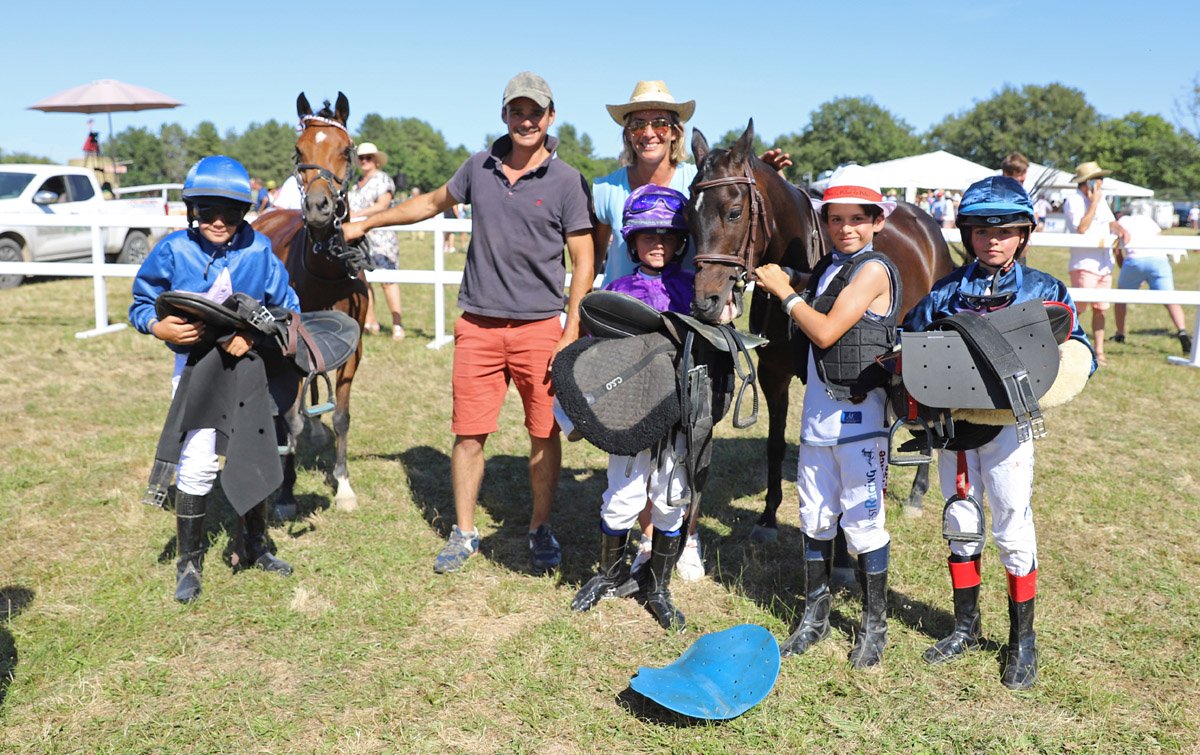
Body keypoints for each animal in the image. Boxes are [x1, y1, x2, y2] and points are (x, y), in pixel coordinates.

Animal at [258, 91, 374, 508]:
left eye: (346, 150)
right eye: (299, 150)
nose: (319, 208)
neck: (326, 274)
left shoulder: (352, 349)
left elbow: (342, 415)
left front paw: (344, 486)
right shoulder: (288, 346)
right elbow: (290, 416)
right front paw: (286, 492)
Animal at [686, 120, 955, 537]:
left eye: (733, 211)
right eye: (688, 213)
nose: (707, 301)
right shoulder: (773, 372)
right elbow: (775, 443)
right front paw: (768, 515)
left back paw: (915, 494)